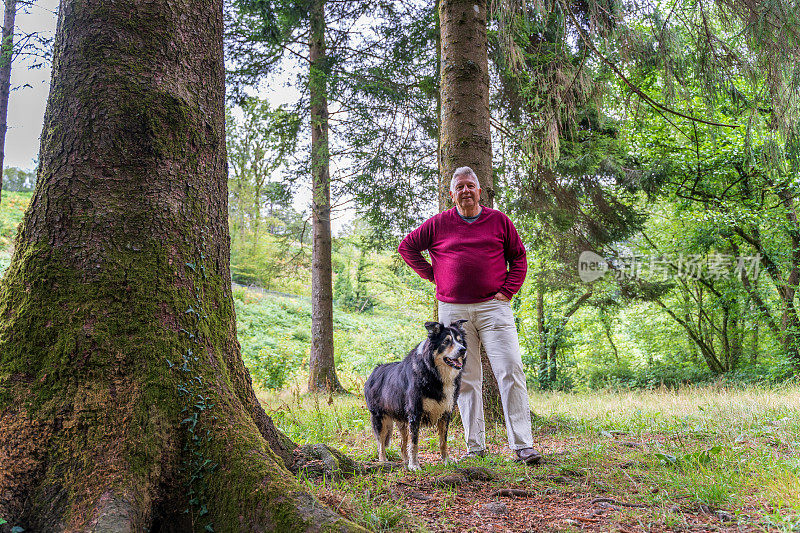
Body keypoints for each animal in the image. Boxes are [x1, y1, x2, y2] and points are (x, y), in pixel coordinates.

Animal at [364, 318, 468, 468]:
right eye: (446, 341)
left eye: (460, 341)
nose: (463, 350)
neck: (435, 373)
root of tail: (374, 372)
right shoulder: (415, 413)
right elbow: (414, 443)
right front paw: (414, 465)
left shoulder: (445, 412)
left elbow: (443, 441)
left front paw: (446, 461)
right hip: (380, 418)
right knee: (381, 444)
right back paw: (383, 462)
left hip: (402, 420)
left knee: (402, 444)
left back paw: (405, 461)